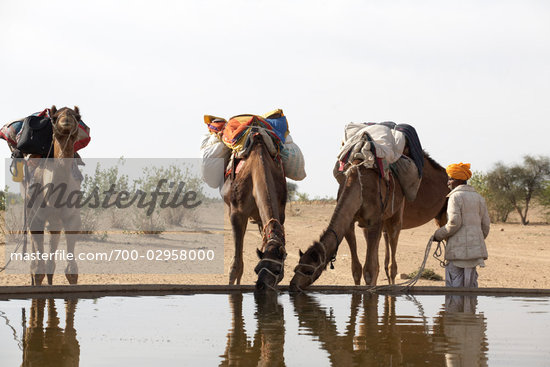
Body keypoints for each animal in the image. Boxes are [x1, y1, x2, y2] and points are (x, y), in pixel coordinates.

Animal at [27, 105, 83, 286]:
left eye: (78, 117)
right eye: (54, 117)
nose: (66, 120)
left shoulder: (72, 217)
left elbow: (72, 272)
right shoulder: (36, 218)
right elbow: (38, 271)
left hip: (55, 220)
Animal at [221, 137, 288, 292]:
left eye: (277, 270)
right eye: (256, 269)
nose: (261, 285)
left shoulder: (281, 213)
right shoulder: (237, 213)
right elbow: (236, 266)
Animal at [292, 151, 450, 292]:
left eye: (308, 271)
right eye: (296, 267)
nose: (293, 285)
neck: (357, 186)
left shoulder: (375, 221)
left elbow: (370, 269)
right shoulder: (352, 223)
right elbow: (357, 268)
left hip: (402, 215)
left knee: (392, 262)